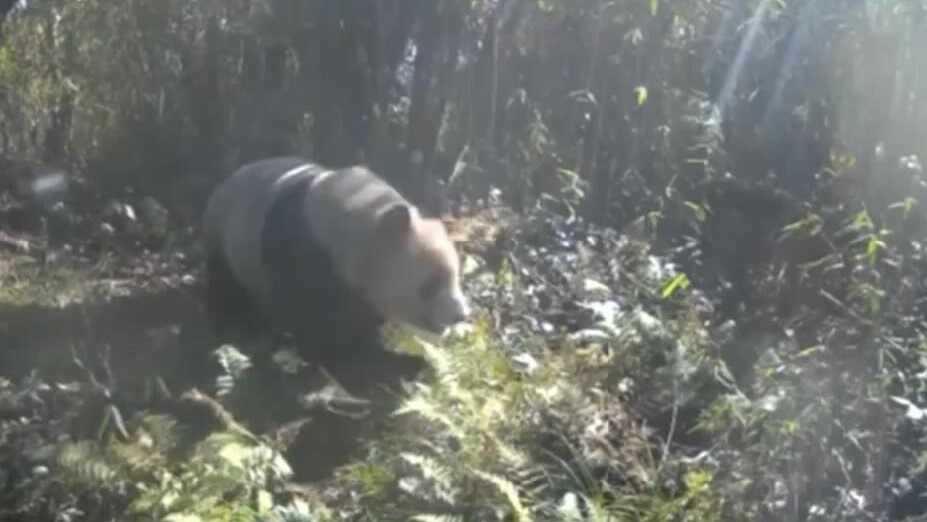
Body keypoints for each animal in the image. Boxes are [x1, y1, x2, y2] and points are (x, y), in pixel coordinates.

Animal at [201, 157, 471, 370]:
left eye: (456, 275)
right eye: (431, 283)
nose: (461, 315)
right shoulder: (300, 253)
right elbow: (315, 325)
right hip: (226, 236)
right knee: (224, 287)